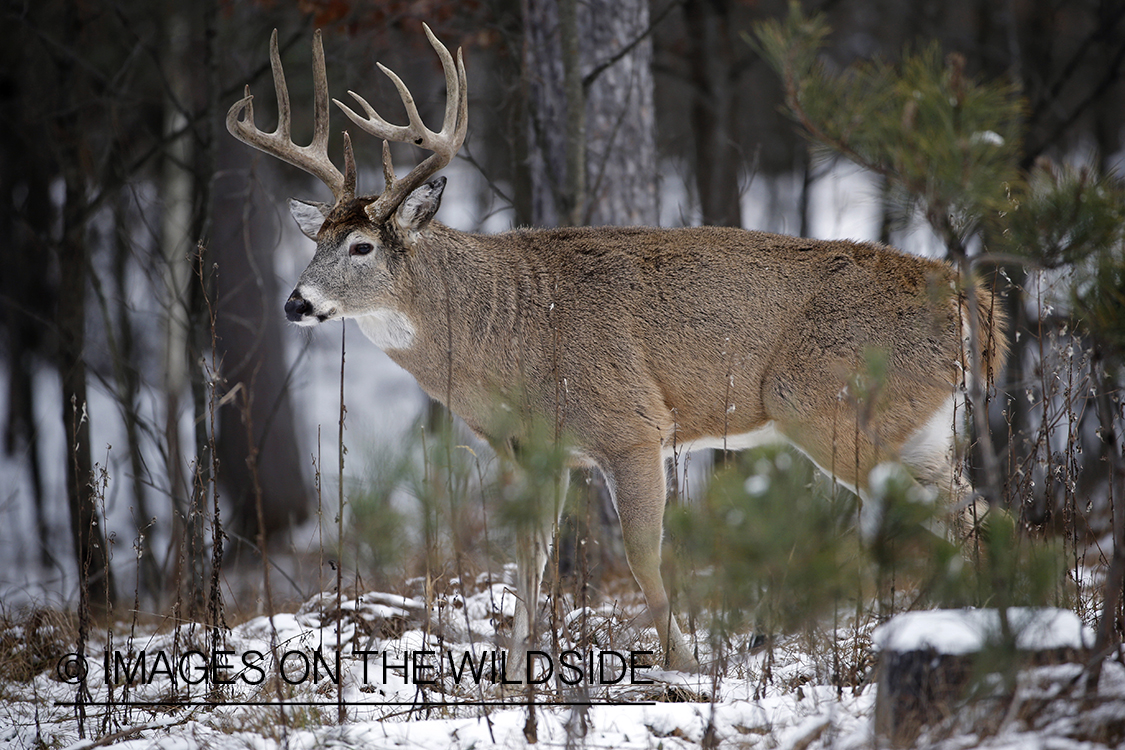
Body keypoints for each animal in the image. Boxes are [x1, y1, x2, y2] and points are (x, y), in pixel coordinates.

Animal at [230, 23, 1012, 670]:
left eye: (361, 246)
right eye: (316, 241)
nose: (296, 302)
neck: (508, 337)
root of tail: (975, 302)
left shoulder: (632, 426)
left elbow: (643, 560)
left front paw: (686, 666)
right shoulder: (532, 451)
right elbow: (528, 561)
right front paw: (517, 675)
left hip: (830, 407)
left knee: (949, 516)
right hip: (921, 426)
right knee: (976, 514)